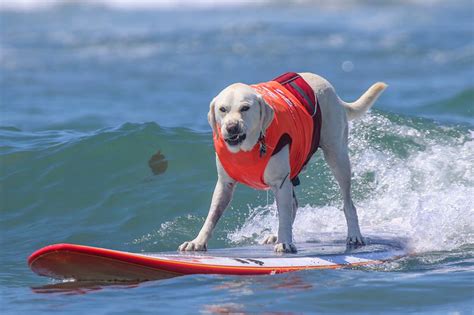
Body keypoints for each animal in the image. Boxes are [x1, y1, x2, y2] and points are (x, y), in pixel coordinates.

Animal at [178, 72, 386, 254]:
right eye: (222, 109)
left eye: (245, 108)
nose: (231, 127)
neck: (249, 147)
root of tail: (331, 90)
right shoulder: (224, 184)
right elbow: (213, 215)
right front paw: (198, 241)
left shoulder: (280, 181)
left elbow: (284, 214)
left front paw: (285, 242)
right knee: (293, 205)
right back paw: (274, 235)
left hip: (337, 156)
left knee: (347, 202)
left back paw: (354, 234)